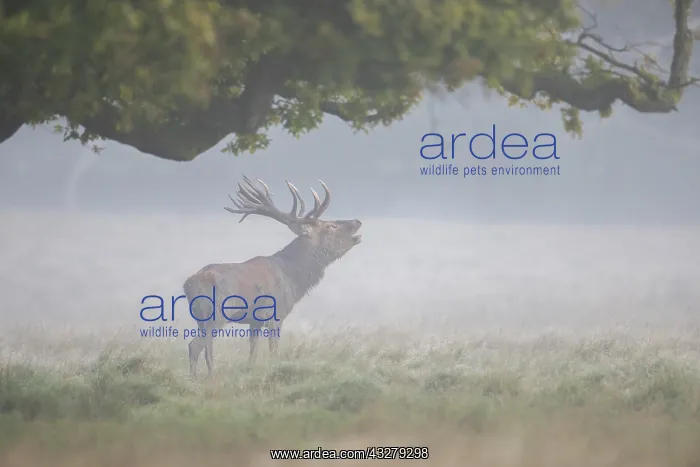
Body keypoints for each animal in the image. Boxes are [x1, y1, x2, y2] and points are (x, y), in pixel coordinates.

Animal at [183, 176, 363, 380]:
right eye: (330, 226)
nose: (357, 221)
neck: (293, 280)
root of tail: (190, 284)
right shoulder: (276, 314)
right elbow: (274, 352)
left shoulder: (255, 321)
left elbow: (252, 354)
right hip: (218, 312)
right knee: (195, 345)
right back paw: (197, 380)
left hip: (199, 317)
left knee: (207, 347)